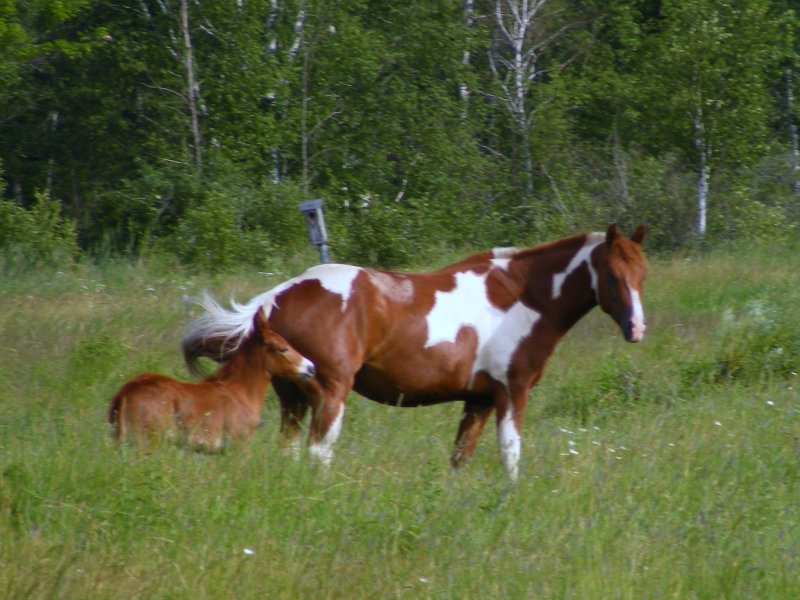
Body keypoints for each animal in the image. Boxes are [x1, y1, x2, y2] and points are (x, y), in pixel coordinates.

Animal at [109, 308, 316, 452]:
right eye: (283, 348)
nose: (311, 367)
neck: (239, 390)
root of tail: (125, 392)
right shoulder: (238, 445)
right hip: (147, 442)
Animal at [184, 224, 648, 478]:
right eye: (611, 273)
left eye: (642, 272)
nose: (637, 328)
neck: (521, 295)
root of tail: (278, 297)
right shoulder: (511, 393)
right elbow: (511, 454)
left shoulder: (479, 400)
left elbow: (461, 457)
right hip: (328, 395)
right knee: (319, 452)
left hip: (293, 397)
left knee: (290, 450)